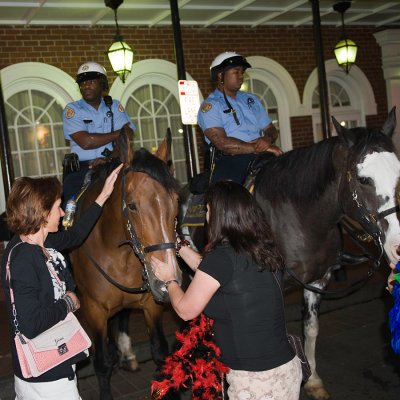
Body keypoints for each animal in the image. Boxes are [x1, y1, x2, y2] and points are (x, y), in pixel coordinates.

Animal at [70, 130, 181, 398]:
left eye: (177, 201)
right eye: (132, 205)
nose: (167, 280)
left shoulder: (151, 304)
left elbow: (160, 350)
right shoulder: (94, 310)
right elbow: (102, 363)